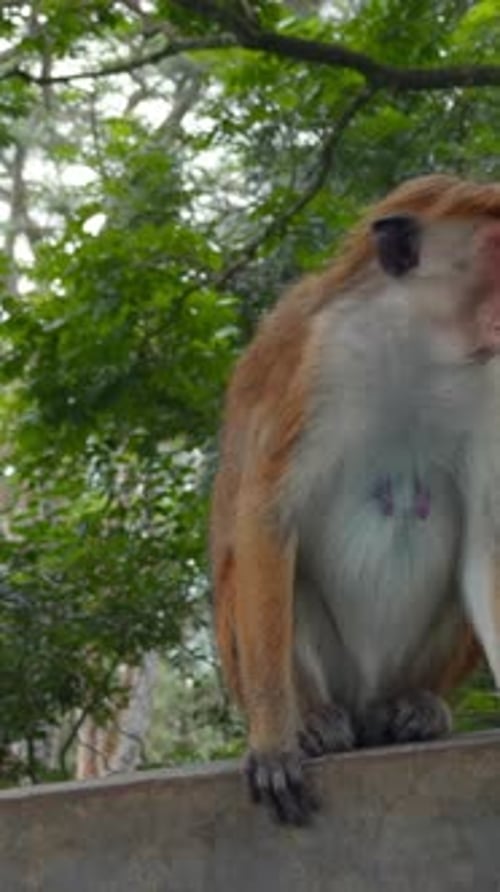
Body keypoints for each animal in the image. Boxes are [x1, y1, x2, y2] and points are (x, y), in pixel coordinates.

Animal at [210, 174, 500, 825]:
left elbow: (483, 545)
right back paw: (314, 720)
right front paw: (274, 741)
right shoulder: (321, 358)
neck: (419, 342)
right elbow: (267, 518)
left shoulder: (490, 382)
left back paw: (416, 706)